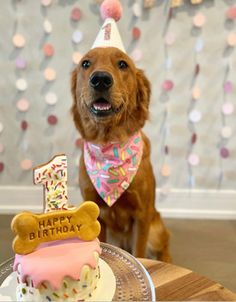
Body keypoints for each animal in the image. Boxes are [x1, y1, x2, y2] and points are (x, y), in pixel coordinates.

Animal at [71, 47, 171, 262]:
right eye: (85, 63)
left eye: (123, 64)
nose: (100, 79)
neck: (109, 144)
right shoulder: (95, 212)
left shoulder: (142, 216)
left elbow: (139, 252)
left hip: (156, 229)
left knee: (165, 244)